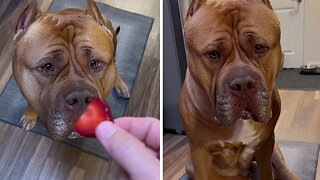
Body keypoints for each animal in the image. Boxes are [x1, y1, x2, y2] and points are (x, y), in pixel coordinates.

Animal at [180, 0, 298, 180]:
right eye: (213, 53)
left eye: (259, 47)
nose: (243, 83)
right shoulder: (199, 153)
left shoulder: (266, 144)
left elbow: (267, 172)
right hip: (190, 164)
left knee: (283, 168)